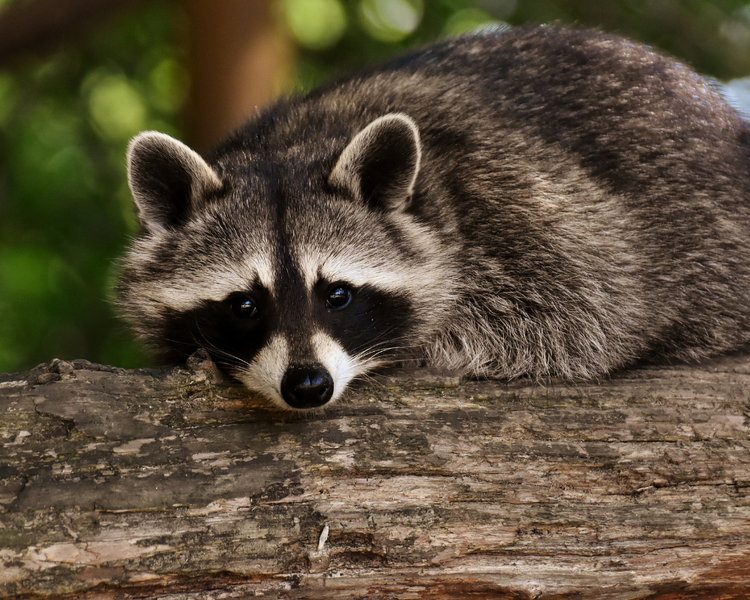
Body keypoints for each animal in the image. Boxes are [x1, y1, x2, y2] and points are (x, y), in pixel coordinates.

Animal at [118, 26, 750, 410]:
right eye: (244, 305)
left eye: (338, 294)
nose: (308, 386)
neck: (294, 146)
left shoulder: (531, 209)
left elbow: (592, 315)